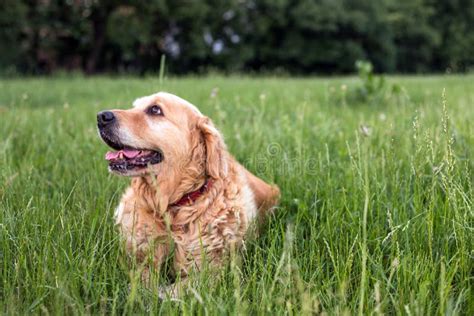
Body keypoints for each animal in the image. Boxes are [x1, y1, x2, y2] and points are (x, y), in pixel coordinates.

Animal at [97, 91, 280, 296]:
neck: (172, 209)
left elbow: (170, 292)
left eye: (155, 110)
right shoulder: (140, 259)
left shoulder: (208, 273)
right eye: (134, 106)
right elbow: (141, 280)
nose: (101, 116)